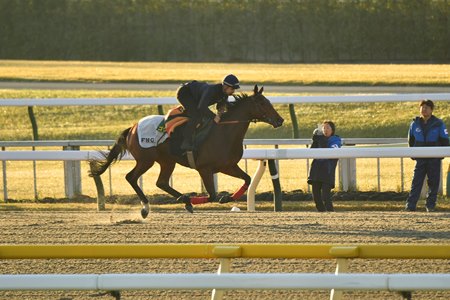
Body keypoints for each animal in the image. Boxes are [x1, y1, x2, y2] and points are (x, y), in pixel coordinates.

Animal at [89, 84, 284, 218]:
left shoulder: (227, 166)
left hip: (167, 161)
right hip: (146, 160)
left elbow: (247, 179)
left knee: (161, 182)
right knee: (131, 177)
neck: (224, 132)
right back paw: (148, 207)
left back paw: (183, 200)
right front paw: (199, 199)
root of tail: (133, 127)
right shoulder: (204, 168)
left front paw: (226, 198)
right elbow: (212, 195)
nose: (280, 120)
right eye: (261, 102)